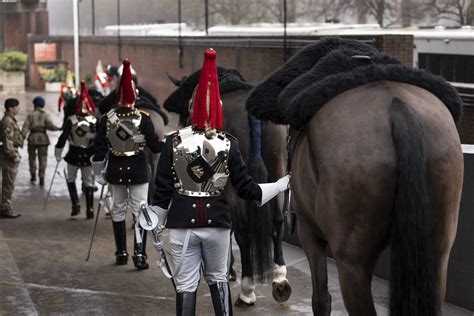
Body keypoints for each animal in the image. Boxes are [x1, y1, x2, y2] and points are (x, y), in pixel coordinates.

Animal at [164, 68, 288, 306]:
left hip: (231, 182)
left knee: (242, 227)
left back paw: (247, 289)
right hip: (277, 163)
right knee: (278, 219)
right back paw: (280, 279)